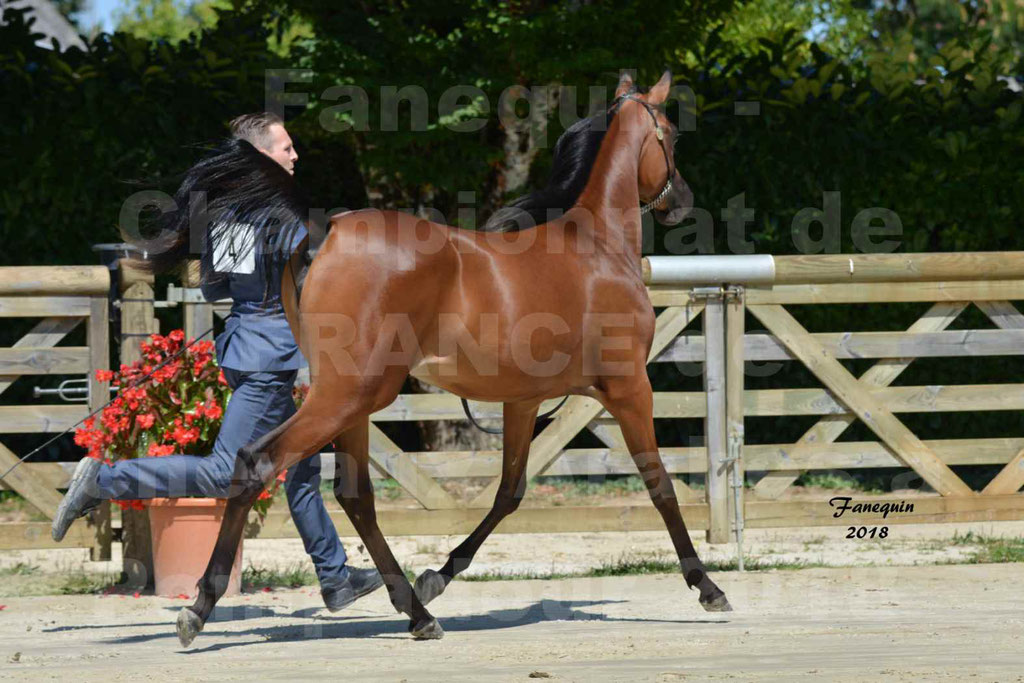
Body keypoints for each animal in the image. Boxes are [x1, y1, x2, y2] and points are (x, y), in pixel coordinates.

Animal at [138, 69, 729, 647]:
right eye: (671, 134)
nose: (681, 199)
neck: (598, 248)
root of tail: (326, 230)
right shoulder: (630, 387)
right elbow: (660, 483)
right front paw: (707, 587)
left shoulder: (523, 399)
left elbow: (508, 493)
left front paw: (438, 576)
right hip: (349, 394)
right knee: (257, 463)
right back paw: (199, 608)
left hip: (352, 401)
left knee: (355, 496)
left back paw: (417, 611)